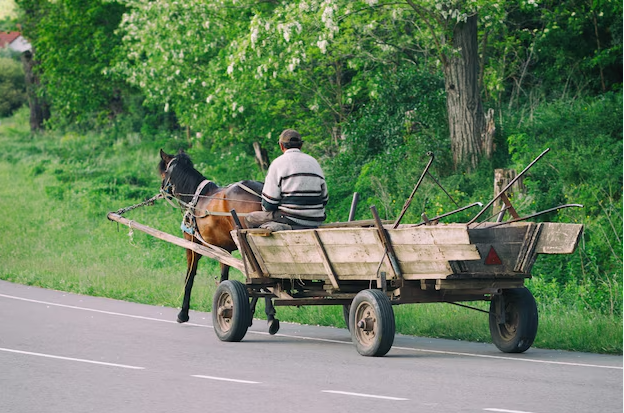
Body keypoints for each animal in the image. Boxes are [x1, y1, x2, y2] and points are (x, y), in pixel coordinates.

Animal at [157, 150, 280, 334]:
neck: (195, 196)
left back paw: (270, 316)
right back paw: (255, 315)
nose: (161, 189)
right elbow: (223, 277)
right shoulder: (225, 250)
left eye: (164, 173)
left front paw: (183, 313)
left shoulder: (193, 246)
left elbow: (189, 278)